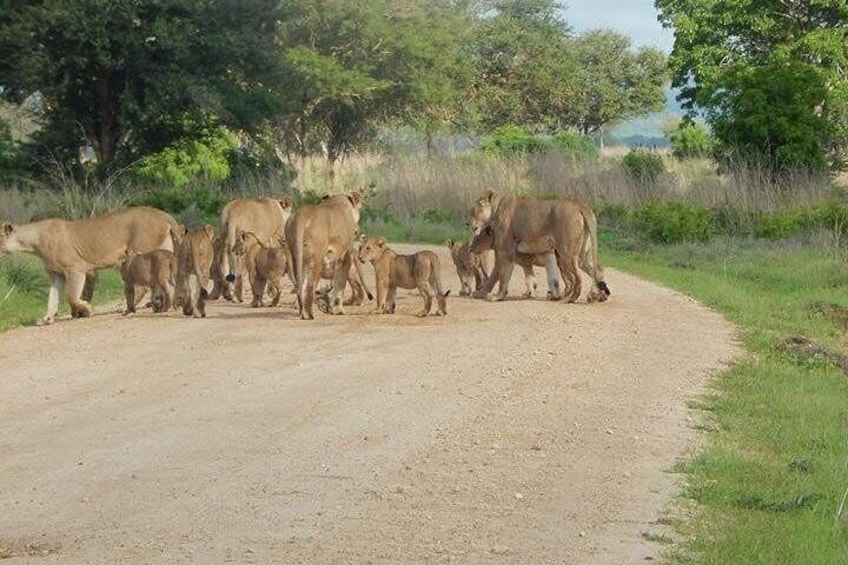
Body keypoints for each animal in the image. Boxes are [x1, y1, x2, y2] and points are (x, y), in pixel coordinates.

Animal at [0, 207, 179, 324]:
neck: (34, 242)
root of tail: (163, 214)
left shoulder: (76, 268)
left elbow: (72, 296)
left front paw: (86, 309)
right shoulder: (56, 275)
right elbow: (52, 298)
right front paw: (47, 318)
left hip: (139, 256)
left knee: (141, 287)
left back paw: (127, 308)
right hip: (163, 253)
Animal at [464, 188, 608, 304]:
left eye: (473, 211)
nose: (467, 223)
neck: (495, 210)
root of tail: (579, 204)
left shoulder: (505, 251)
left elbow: (500, 276)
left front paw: (494, 296)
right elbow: (545, 277)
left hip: (566, 252)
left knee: (578, 277)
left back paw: (570, 299)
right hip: (583, 255)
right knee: (596, 270)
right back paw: (595, 296)